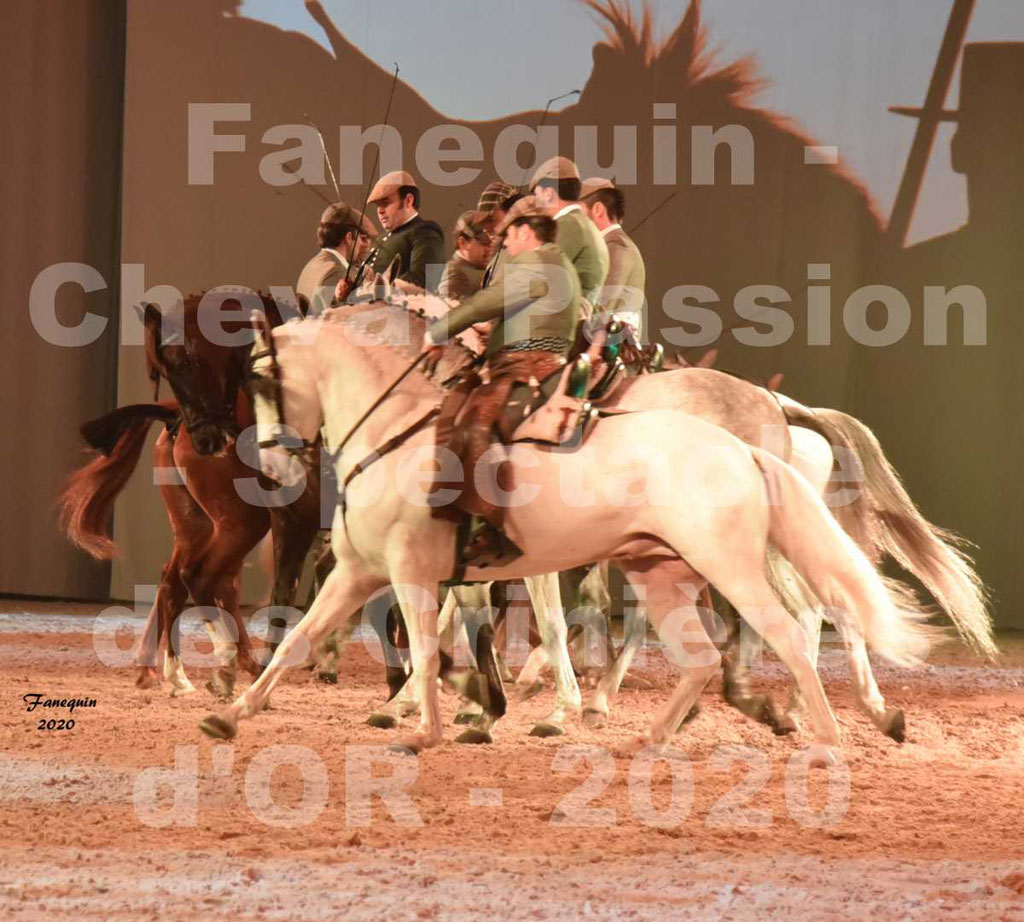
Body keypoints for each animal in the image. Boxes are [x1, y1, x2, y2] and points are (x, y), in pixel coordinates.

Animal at [195, 305, 937, 762]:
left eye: (258, 376)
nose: (272, 465)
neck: (395, 432)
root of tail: (749, 439)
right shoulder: (360, 573)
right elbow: (299, 636)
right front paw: (232, 714)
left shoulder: (414, 572)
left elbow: (439, 648)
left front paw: (436, 723)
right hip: (663, 575)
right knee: (705, 654)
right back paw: (655, 735)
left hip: (732, 568)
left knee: (795, 630)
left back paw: (824, 735)